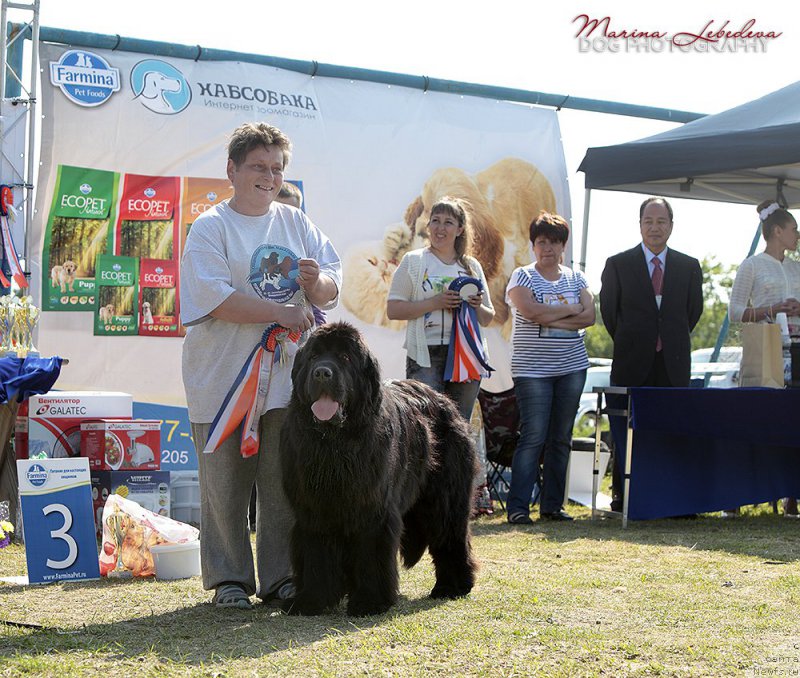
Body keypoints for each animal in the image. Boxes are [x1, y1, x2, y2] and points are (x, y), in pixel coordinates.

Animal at [282, 322, 478, 616]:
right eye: (313, 357)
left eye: (345, 358)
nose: (322, 373)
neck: (335, 443)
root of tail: (444, 400)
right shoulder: (314, 510)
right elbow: (317, 553)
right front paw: (312, 600)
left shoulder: (372, 509)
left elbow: (370, 553)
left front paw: (370, 601)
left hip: (445, 498)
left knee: (450, 536)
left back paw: (452, 586)